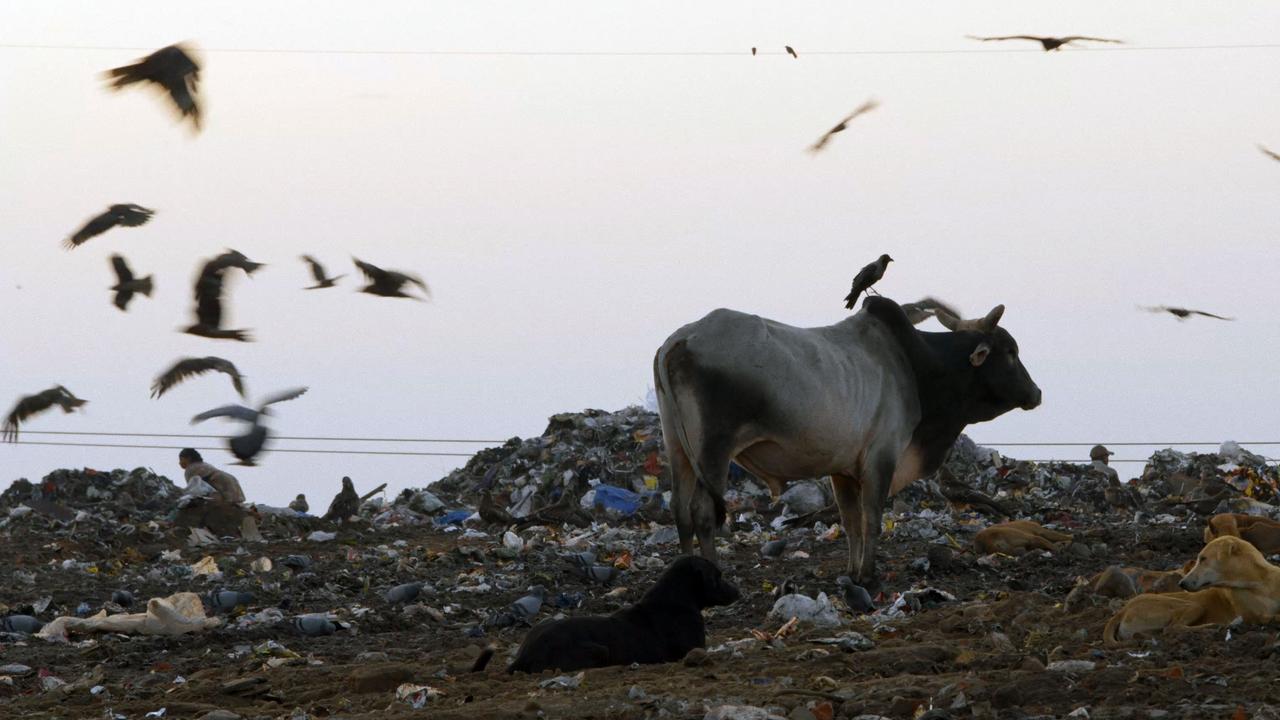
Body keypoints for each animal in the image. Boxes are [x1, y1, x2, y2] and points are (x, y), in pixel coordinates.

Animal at [476, 556, 742, 671]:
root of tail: (526, 653)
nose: (738, 591)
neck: (677, 599)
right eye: (718, 575)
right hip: (600, 650)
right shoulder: (694, 649)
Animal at [1100, 532, 1280, 645]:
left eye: (1203, 558)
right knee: (1172, 628)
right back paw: (1212, 627)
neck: (1260, 583)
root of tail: (1123, 610)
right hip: (1190, 605)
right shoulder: (1254, 615)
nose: (1182, 584)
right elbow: (1268, 616)